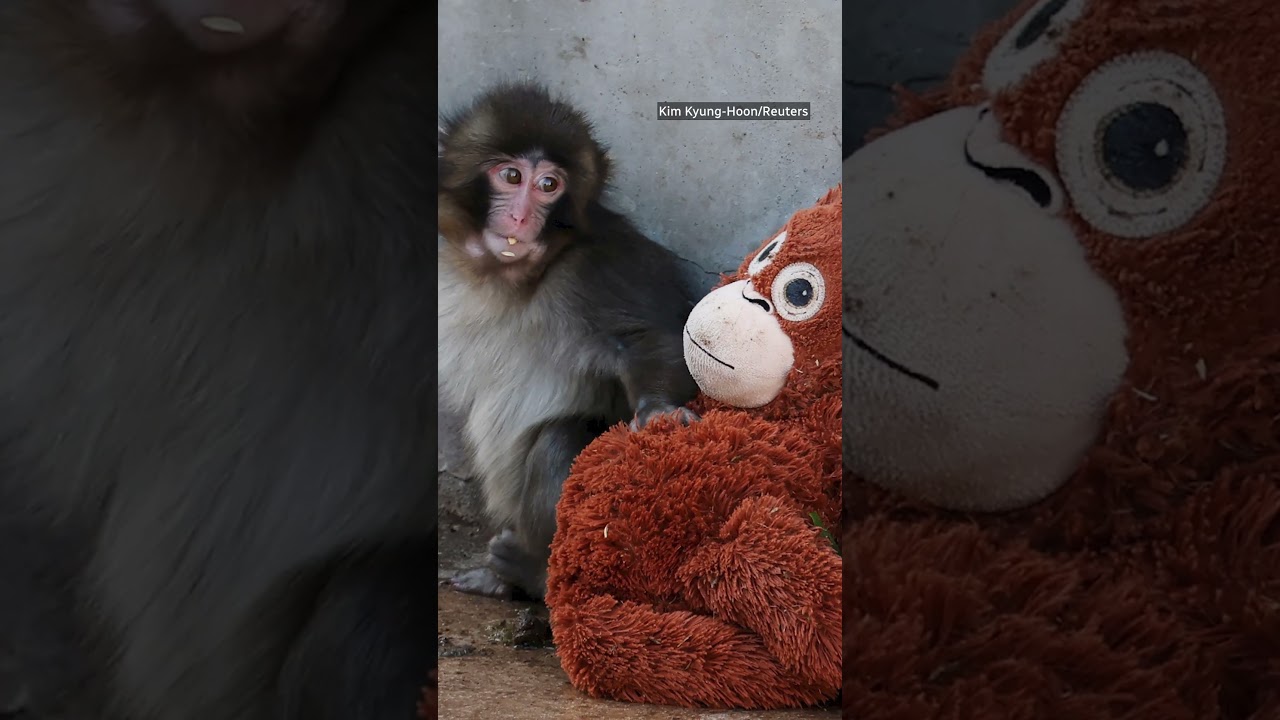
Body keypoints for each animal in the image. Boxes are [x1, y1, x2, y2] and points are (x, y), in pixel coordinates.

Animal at [437, 83, 702, 601]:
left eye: (549, 186)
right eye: (511, 175)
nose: (521, 217)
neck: (507, 279)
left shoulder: (597, 268)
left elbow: (651, 337)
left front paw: (659, 411)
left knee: (561, 441)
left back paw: (530, 573)